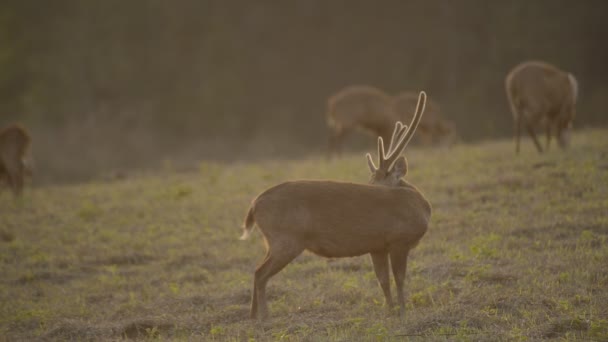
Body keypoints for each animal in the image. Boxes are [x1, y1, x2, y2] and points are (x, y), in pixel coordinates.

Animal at [242, 91, 432, 320]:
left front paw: (390, 310)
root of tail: (254, 204)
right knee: (261, 273)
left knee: (256, 270)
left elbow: (383, 281)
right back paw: (264, 316)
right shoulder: (398, 240)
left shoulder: (377, 246)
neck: (420, 209)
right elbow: (399, 279)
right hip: (286, 239)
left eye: (373, 181)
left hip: (274, 241)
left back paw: (252, 315)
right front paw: (403, 311)